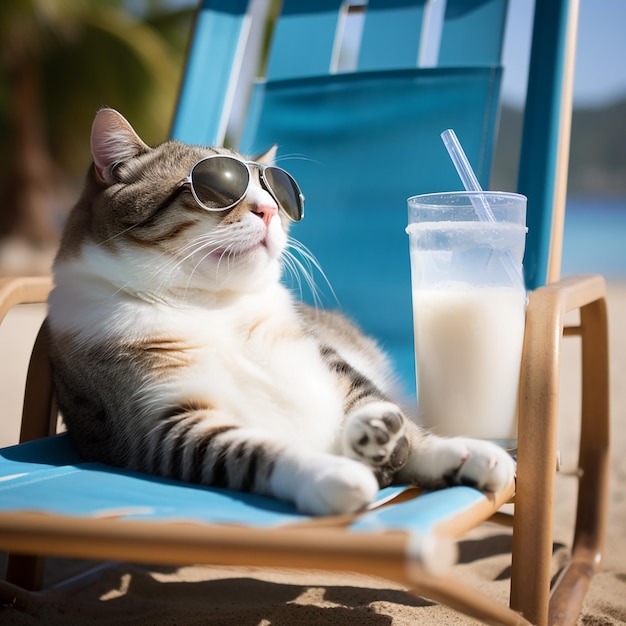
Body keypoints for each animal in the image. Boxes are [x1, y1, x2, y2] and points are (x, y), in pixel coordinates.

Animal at [46, 109, 516, 516]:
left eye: (275, 190)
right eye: (215, 188)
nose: (269, 210)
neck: (211, 305)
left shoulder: (326, 358)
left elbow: (383, 408)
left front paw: (452, 450)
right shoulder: (166, 421)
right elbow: (257, 451)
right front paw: (330, 473)